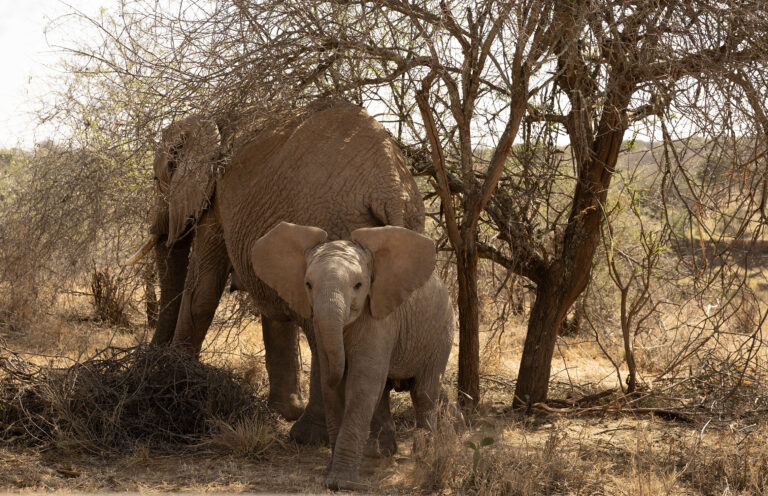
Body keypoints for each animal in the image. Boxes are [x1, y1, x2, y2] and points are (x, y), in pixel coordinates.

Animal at [126, 102, 426, 444]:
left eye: (156, 177)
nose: (147, 364)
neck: (214, 121)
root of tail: (390, 189)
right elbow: (273, 304)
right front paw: (283, 410)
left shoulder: (216, 200)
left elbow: (202, 291)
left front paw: (174, 380)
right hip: (406, 228)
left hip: (332, 221)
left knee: (322, 328)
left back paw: (308, 436)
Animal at [251, 222, 454, 490]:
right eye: (308, 285)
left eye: (358, 286)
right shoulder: (319, 325)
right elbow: (334, 388)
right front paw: (332, 474)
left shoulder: (380, 320)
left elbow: (362, 385)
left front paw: (340, 482)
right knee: (385, 392)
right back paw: (377, 454)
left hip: (442, 331)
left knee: (423, 392)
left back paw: (422, 456)